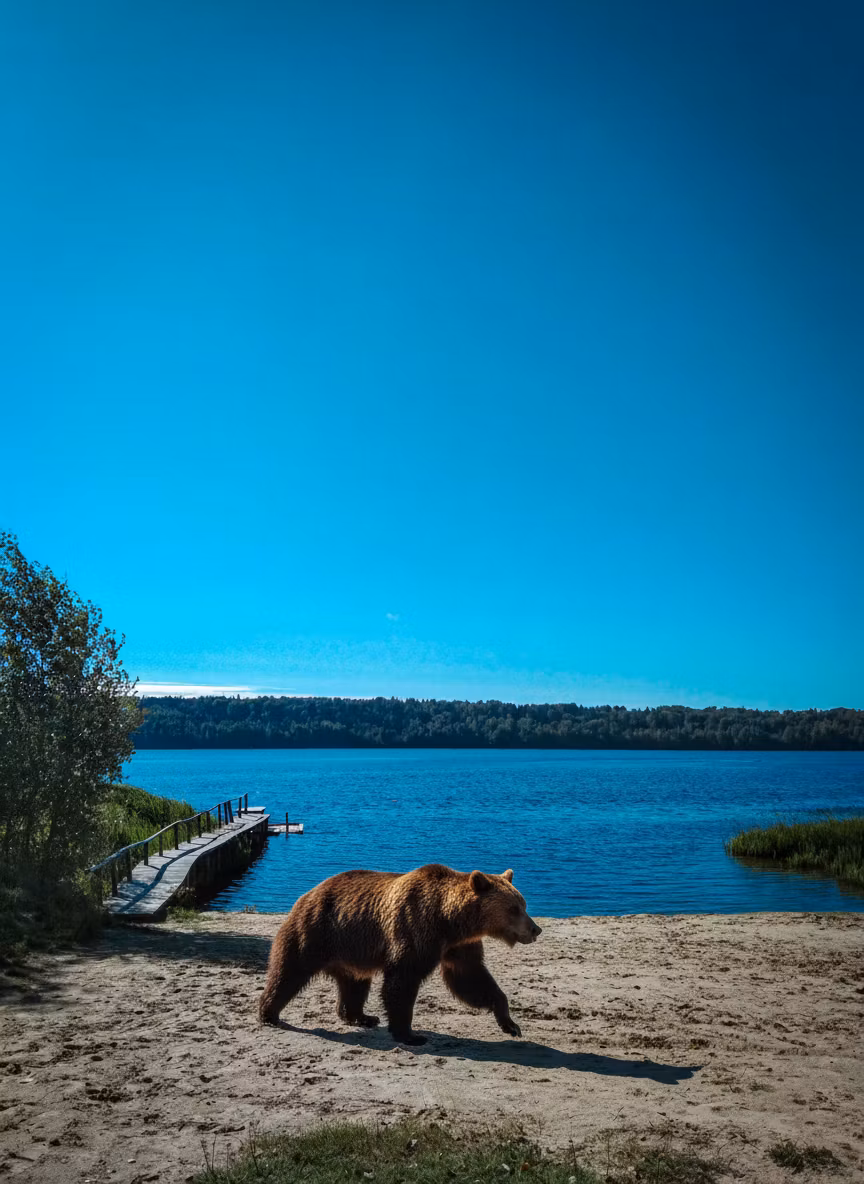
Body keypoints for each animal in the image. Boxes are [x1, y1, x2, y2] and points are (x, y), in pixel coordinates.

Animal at [258, 863, 542, 1045]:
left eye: (524, 904)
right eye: (514, 908)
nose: (536, 929)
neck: (450, 921)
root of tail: (308, 893)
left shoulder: (459, 946)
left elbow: (471, 979)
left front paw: (510, 1024)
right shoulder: (415, 928)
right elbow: (402, 980)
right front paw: (410, 1034)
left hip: (352, 949)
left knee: (355, 983)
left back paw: (361, 1016)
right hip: (317, 931)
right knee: (289, 971)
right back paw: (269, 1013)